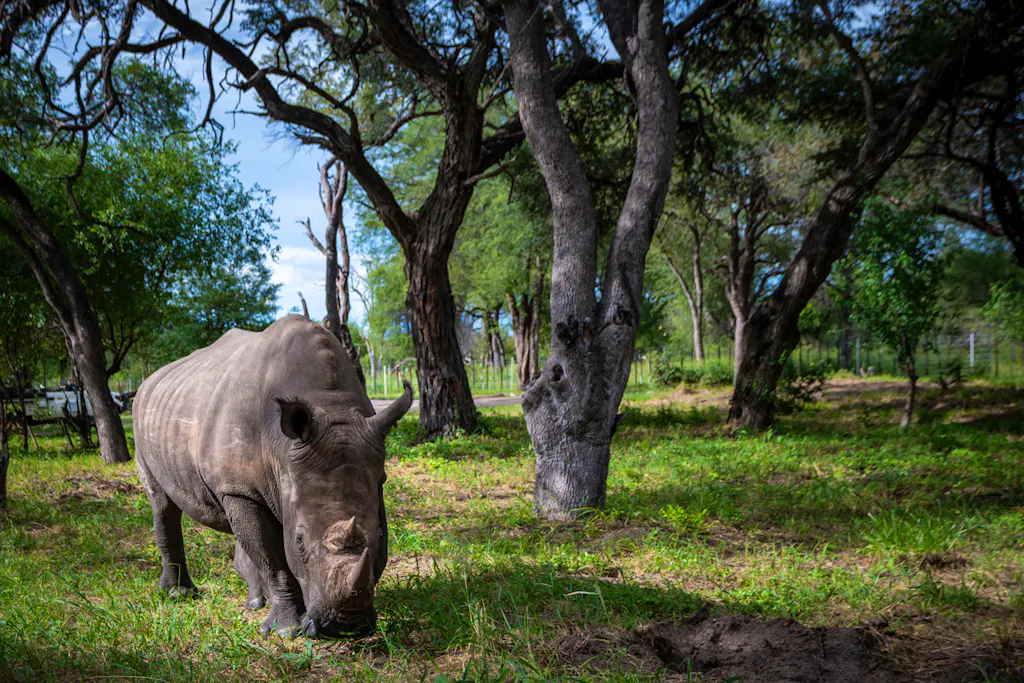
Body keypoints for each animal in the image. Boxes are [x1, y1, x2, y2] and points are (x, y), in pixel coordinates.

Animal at [133, 315, 411, 637]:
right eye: (299, 539)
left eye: (379, 535)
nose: (345, 626)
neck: (330, 405)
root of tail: (146, 382)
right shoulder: (239, 488)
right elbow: (274, 560)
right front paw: (285, 631)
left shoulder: (375, 478)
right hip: (145, 419)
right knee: (162, 504)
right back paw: (179, 594)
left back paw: (255, 601)